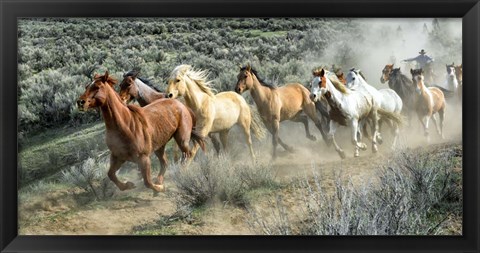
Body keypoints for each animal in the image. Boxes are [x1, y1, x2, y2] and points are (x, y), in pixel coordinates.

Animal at [76, 70, 204, 192]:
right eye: (86, 86)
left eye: (97, 87)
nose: (80, 102)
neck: (126, 125)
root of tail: (180, 104)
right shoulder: (117, 157)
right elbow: (111, 174)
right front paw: (128, 185)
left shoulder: (143, 158)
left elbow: (147, 182)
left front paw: (159, 189)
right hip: (160, 146)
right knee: (165, 162)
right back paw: (160, 180)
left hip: (182, 139)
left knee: (187, 155)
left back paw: (181, 173)